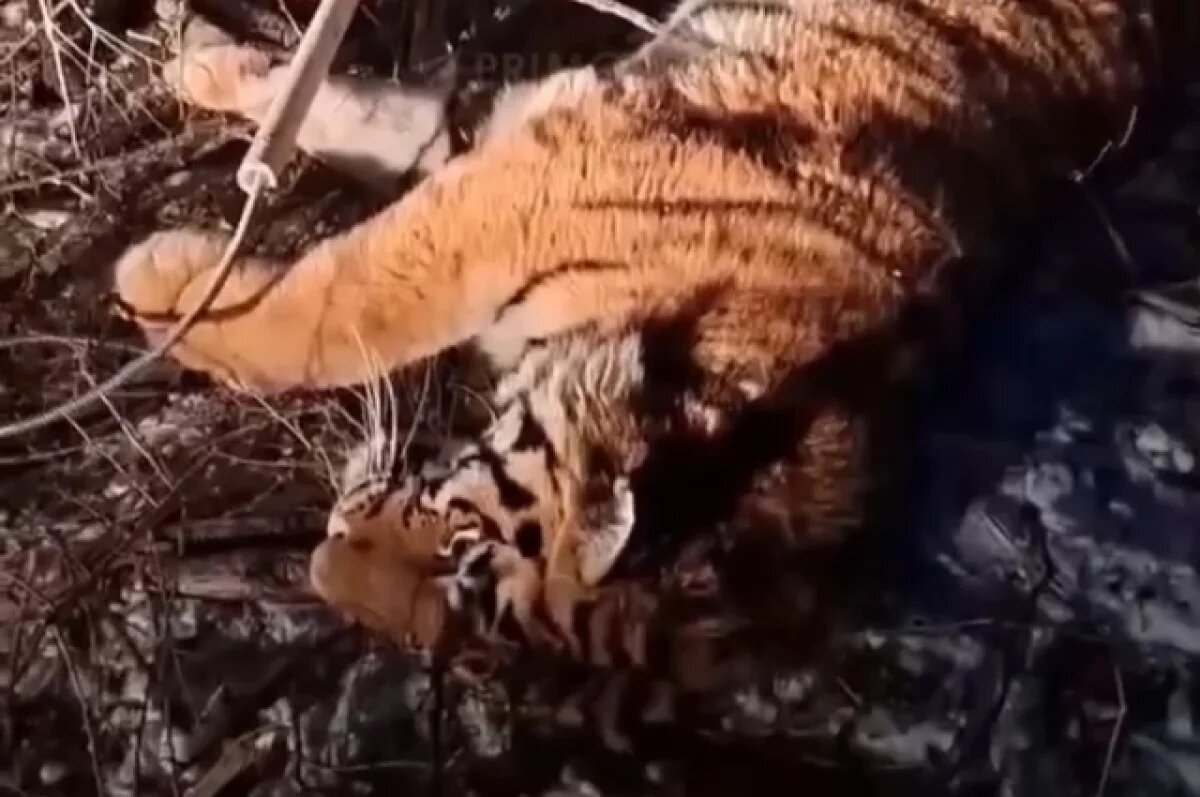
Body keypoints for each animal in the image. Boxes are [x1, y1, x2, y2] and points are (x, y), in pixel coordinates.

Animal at [112, 0, 1198, 746]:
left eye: (463, 613)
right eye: (460, 538)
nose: (319, 572)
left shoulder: (514, 159)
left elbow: (372, 164)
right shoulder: (525, 188)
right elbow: (343, 303)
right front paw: (164, 266)